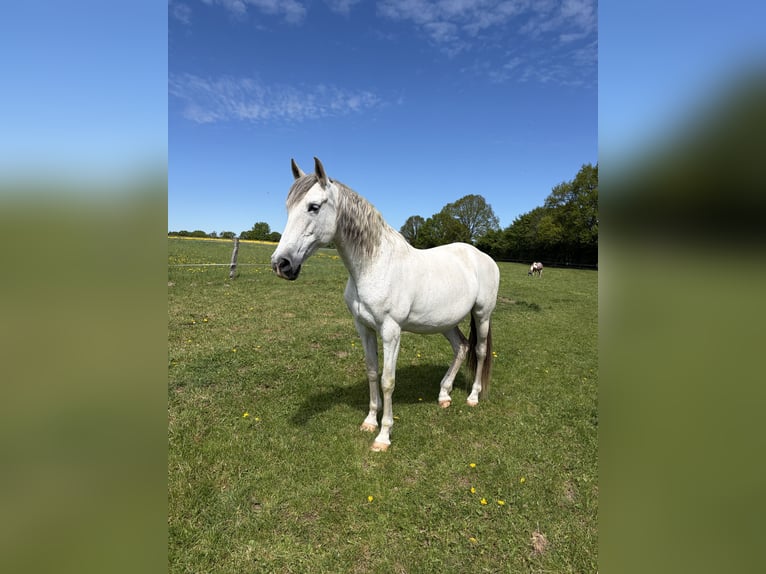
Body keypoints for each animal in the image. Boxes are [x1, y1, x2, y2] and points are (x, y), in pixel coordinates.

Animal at [271, 157, 500, 452]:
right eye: (288, 207)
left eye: (314, 207)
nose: (281, 264)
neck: (374, 265)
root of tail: (482, 256)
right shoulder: (364, 328)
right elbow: (372, 372)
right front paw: (370, 421)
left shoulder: (391, 332)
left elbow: (387, 381)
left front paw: (383, 436)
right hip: (446, 322)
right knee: (461, 347)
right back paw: (444, 395)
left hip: (482, 315)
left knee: (480, 351)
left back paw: (473, 396)